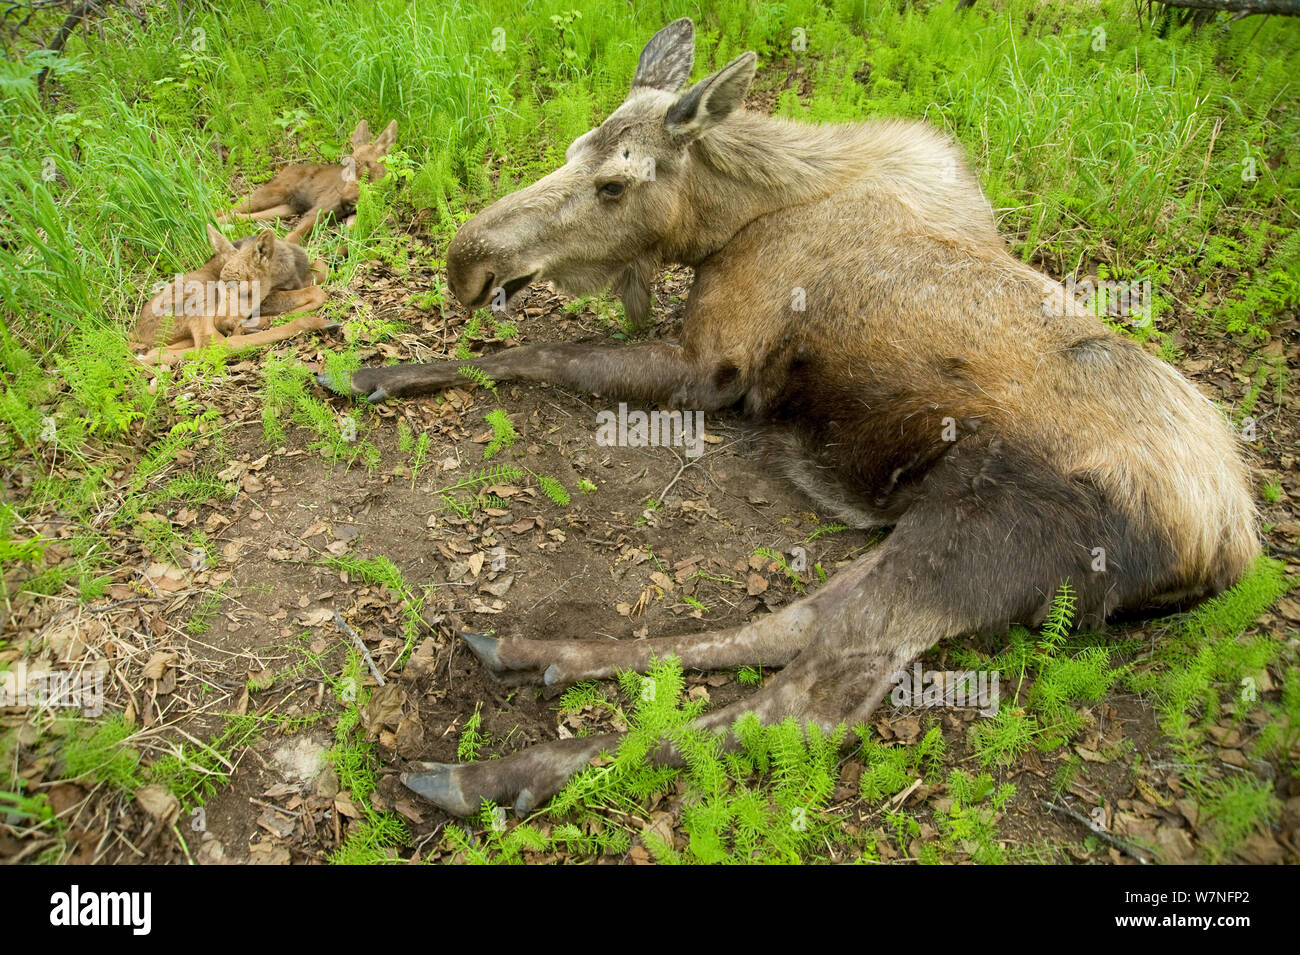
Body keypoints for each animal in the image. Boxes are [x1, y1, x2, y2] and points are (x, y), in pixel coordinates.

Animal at [322, 18, 1258, 815]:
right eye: (569, 154)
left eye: (614, 182)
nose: (466, 263)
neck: (733, 219)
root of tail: (1231, 544)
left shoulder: (712, 367)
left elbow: (542, 355)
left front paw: (371, 371)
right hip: (945, 521)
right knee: (798, 619)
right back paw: (538, 653)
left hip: (992, 525)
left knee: (806, 701)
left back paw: (491, 773)